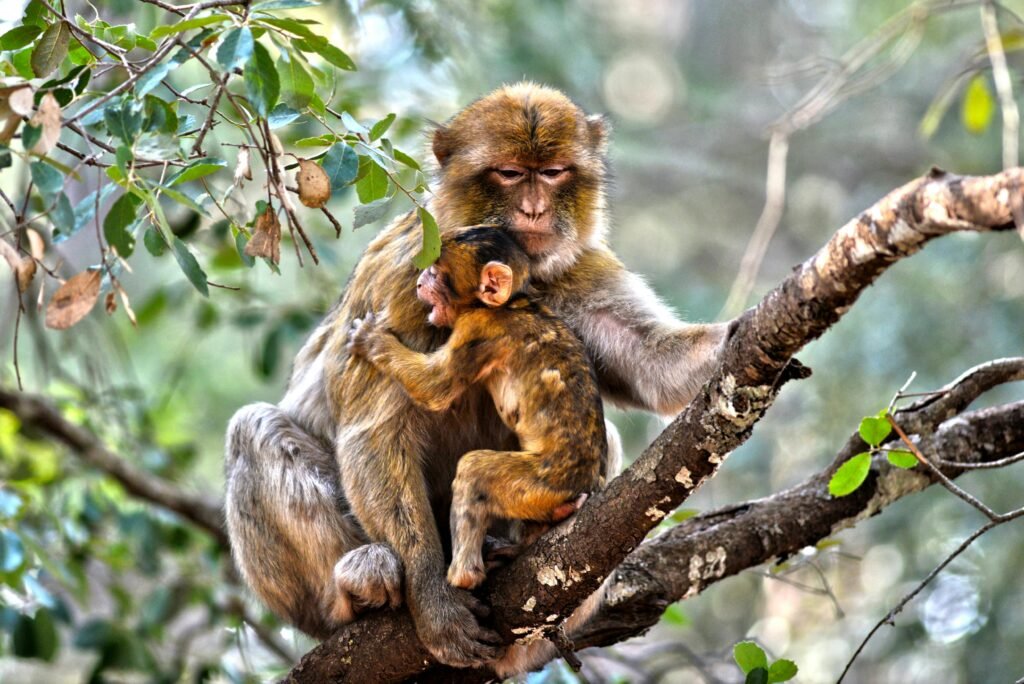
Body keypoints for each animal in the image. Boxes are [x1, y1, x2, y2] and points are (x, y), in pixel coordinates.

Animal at [346, 226, 607, 591]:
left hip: (546, 482)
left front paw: (373, 341)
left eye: (437, 272)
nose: (420, 282)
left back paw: (464, 575)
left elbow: (436, 387)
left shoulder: (478, 327)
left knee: (474, 471)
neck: (511, 303)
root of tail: (590, 480)